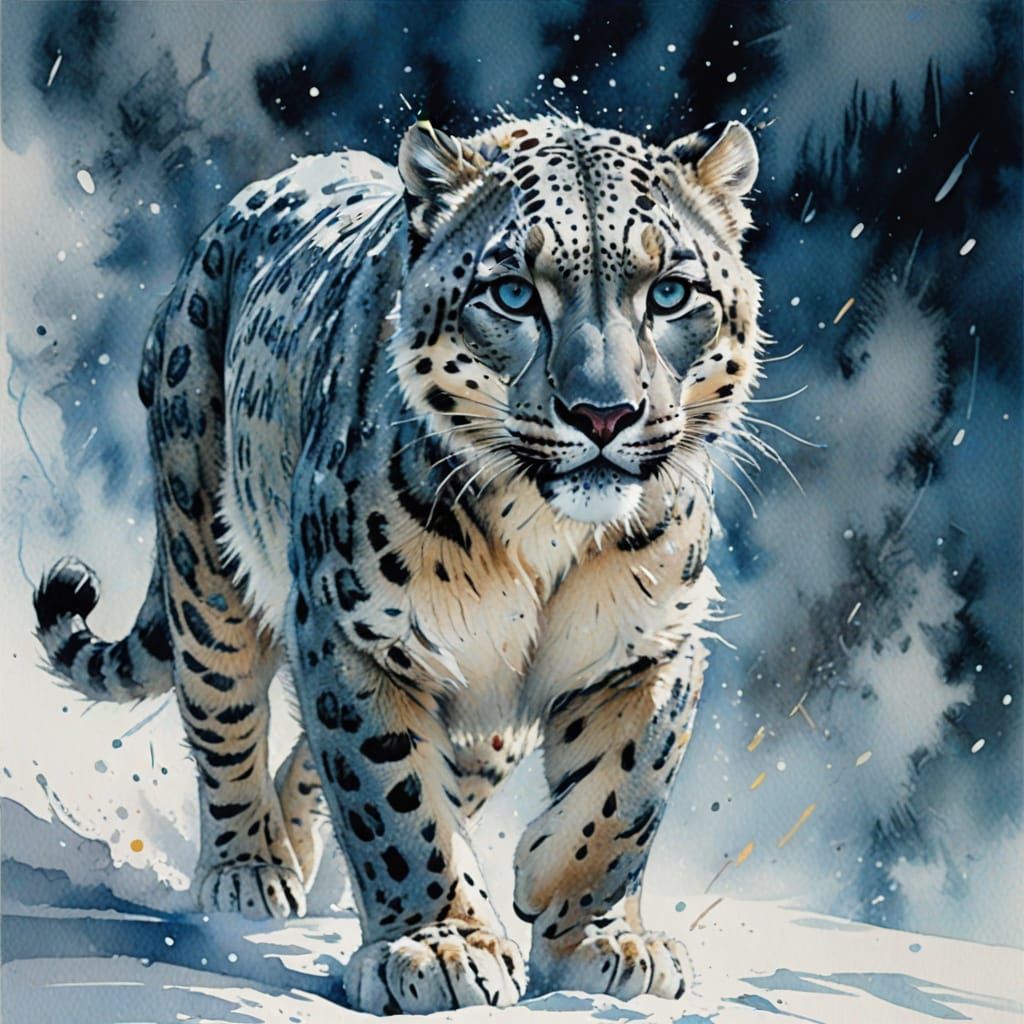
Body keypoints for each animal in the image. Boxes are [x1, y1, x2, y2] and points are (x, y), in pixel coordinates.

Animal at [33, 113, 762, 1013]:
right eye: (513, 293)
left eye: (670, 293)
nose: (603, 414)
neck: (546, 536)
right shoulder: (353, 630)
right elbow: (393, 800)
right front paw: (441, 946)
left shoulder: (651, 642)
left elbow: (626, 791)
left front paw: (593, 931)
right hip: (206, 566)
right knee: (226, 715)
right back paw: (250, 872)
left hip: (484, 713)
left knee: (335, 762)